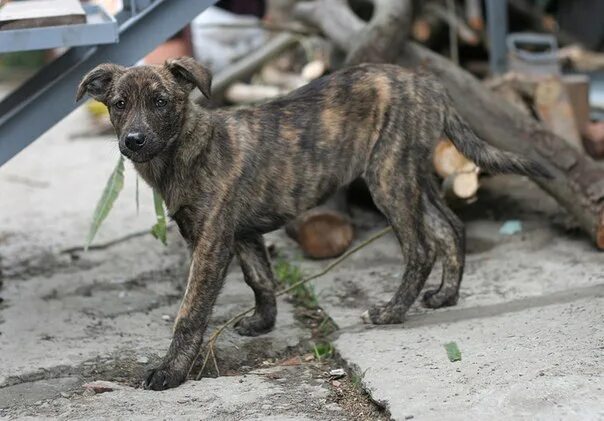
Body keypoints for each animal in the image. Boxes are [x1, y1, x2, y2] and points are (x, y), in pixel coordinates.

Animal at [76, 57, 552, 388]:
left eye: (160, 102)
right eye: (118, 105)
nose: (133, 140)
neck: (185, 149)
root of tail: (427, 82)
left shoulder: (210, 243)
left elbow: (190, 313)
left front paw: (171, 371)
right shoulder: (241, 234)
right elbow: (260, 278)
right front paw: (262, 323)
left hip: (388, 176)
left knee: (421, 246)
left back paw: (393, 311)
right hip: (412, 174)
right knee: (450, 226)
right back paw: (445, 295)